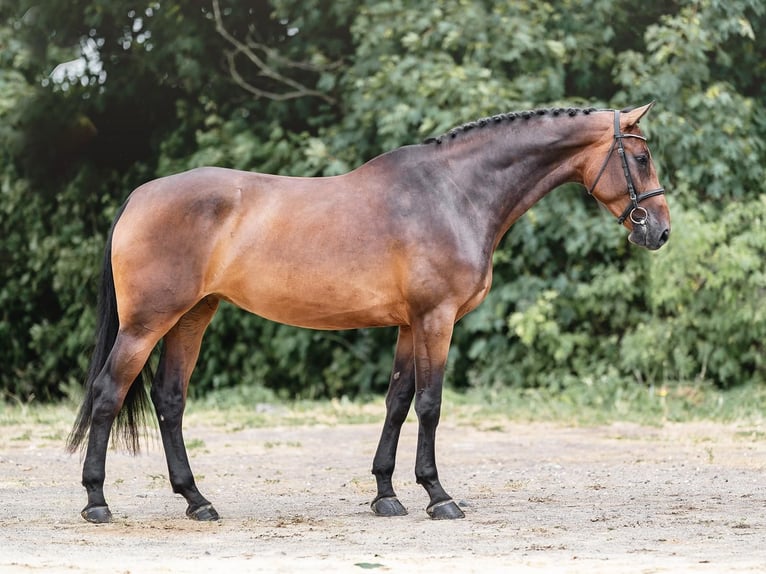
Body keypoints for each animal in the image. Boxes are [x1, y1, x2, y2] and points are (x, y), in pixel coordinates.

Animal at [67, 101, 672, 524]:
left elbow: (397, 403)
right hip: (146, 324)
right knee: (108, 393)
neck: (452, 193)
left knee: (170, 401)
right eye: (641, 158)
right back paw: (97, 501)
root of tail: (139, 196)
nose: (660, 231)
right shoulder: (436, 319)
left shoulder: (409, 324)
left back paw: (197, 500)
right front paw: (438, 495)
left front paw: (386, 494)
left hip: (193, 317)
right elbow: (430, 403)